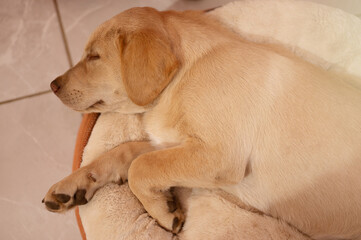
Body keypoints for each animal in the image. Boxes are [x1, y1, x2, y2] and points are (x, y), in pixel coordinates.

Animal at [43, 7, 360, 240]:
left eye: (94, 56)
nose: (52, 85)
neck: (185, 74)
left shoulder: (217, 155)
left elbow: (139, 168)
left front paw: (162, 212)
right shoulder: (174, 145)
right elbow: (124, 153)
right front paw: (73, 185)